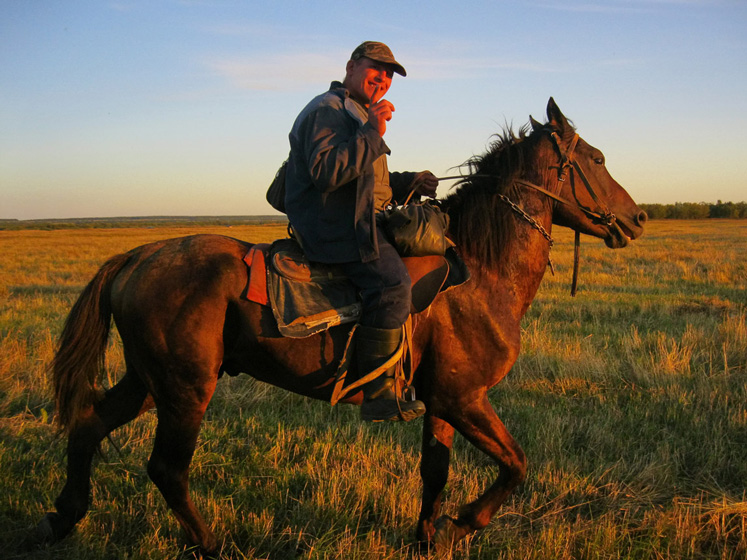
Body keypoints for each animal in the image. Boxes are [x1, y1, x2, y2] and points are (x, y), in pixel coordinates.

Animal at [38, 98, 648, 552]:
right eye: (595, 158)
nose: (639, 217)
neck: (482, 271)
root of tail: (137, 256)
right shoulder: (465, 398)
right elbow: (516, 464)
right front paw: (464, 524)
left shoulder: (444, 401)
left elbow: (436, 473)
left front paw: (428, 540)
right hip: (185, 390)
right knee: (167, 468)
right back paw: (209, 544)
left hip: (148, 383)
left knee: (88, 427)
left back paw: (62, 518)